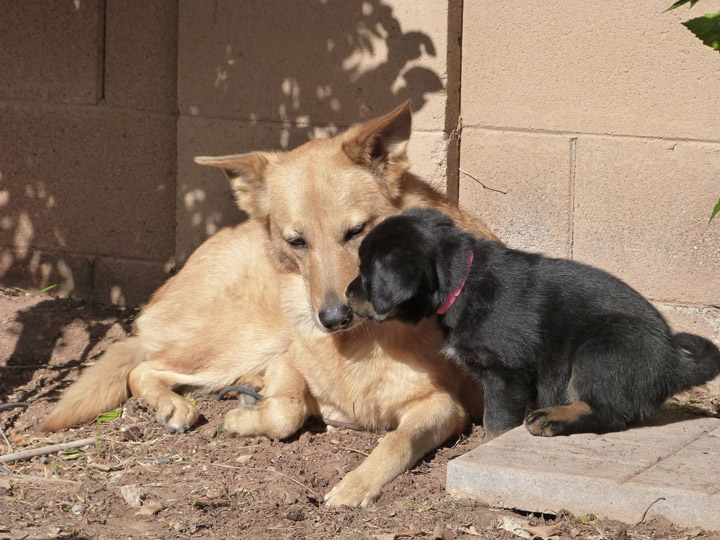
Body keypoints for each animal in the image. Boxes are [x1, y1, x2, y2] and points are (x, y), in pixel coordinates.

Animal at [42, 100, 498, 506]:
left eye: (356, 233)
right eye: (297, 242)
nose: (334, 317)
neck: (358, 343)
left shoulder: (444, 407)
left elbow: (396, 440)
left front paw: (355, 485)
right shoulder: (287, 360)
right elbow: (288, 411)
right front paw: (244, 420)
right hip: (244, 340)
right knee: (144, 367)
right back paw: (176, 405)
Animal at [344, 207, 720, 438]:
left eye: (365, 273)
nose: (346, 296)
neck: (461, 282)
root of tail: (672, 362)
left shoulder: (505, 373)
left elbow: (496, 423)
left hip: (603, 347)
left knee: (610, 410)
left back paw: (553, 417)